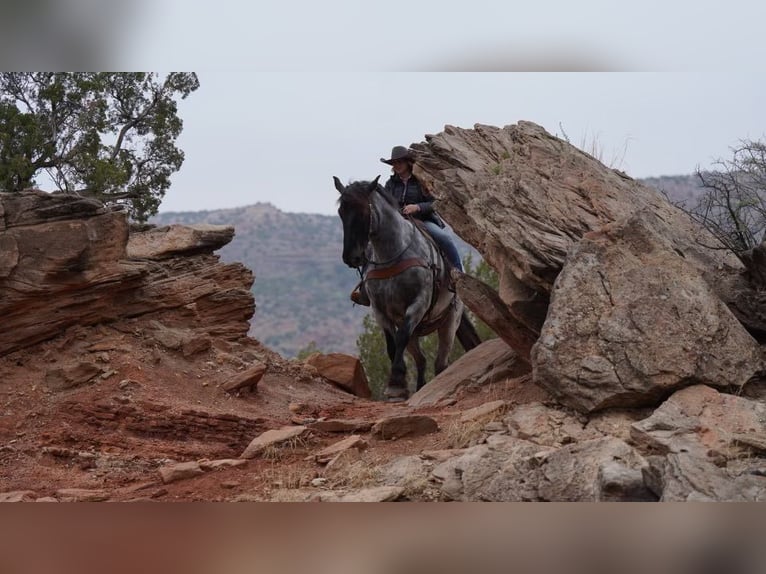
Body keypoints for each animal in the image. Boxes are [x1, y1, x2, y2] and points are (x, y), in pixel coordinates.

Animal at [334, 176, 480, 400]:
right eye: (341, 212)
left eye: (363, 212)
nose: (352, 257)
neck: (394, 254)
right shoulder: (380, 310)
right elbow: (392, 345)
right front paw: (398, 386)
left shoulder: (418, 304)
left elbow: (400, 338)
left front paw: (395, 383)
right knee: (421, 360)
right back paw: (420, 388)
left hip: (450, 323)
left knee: (440, 363)